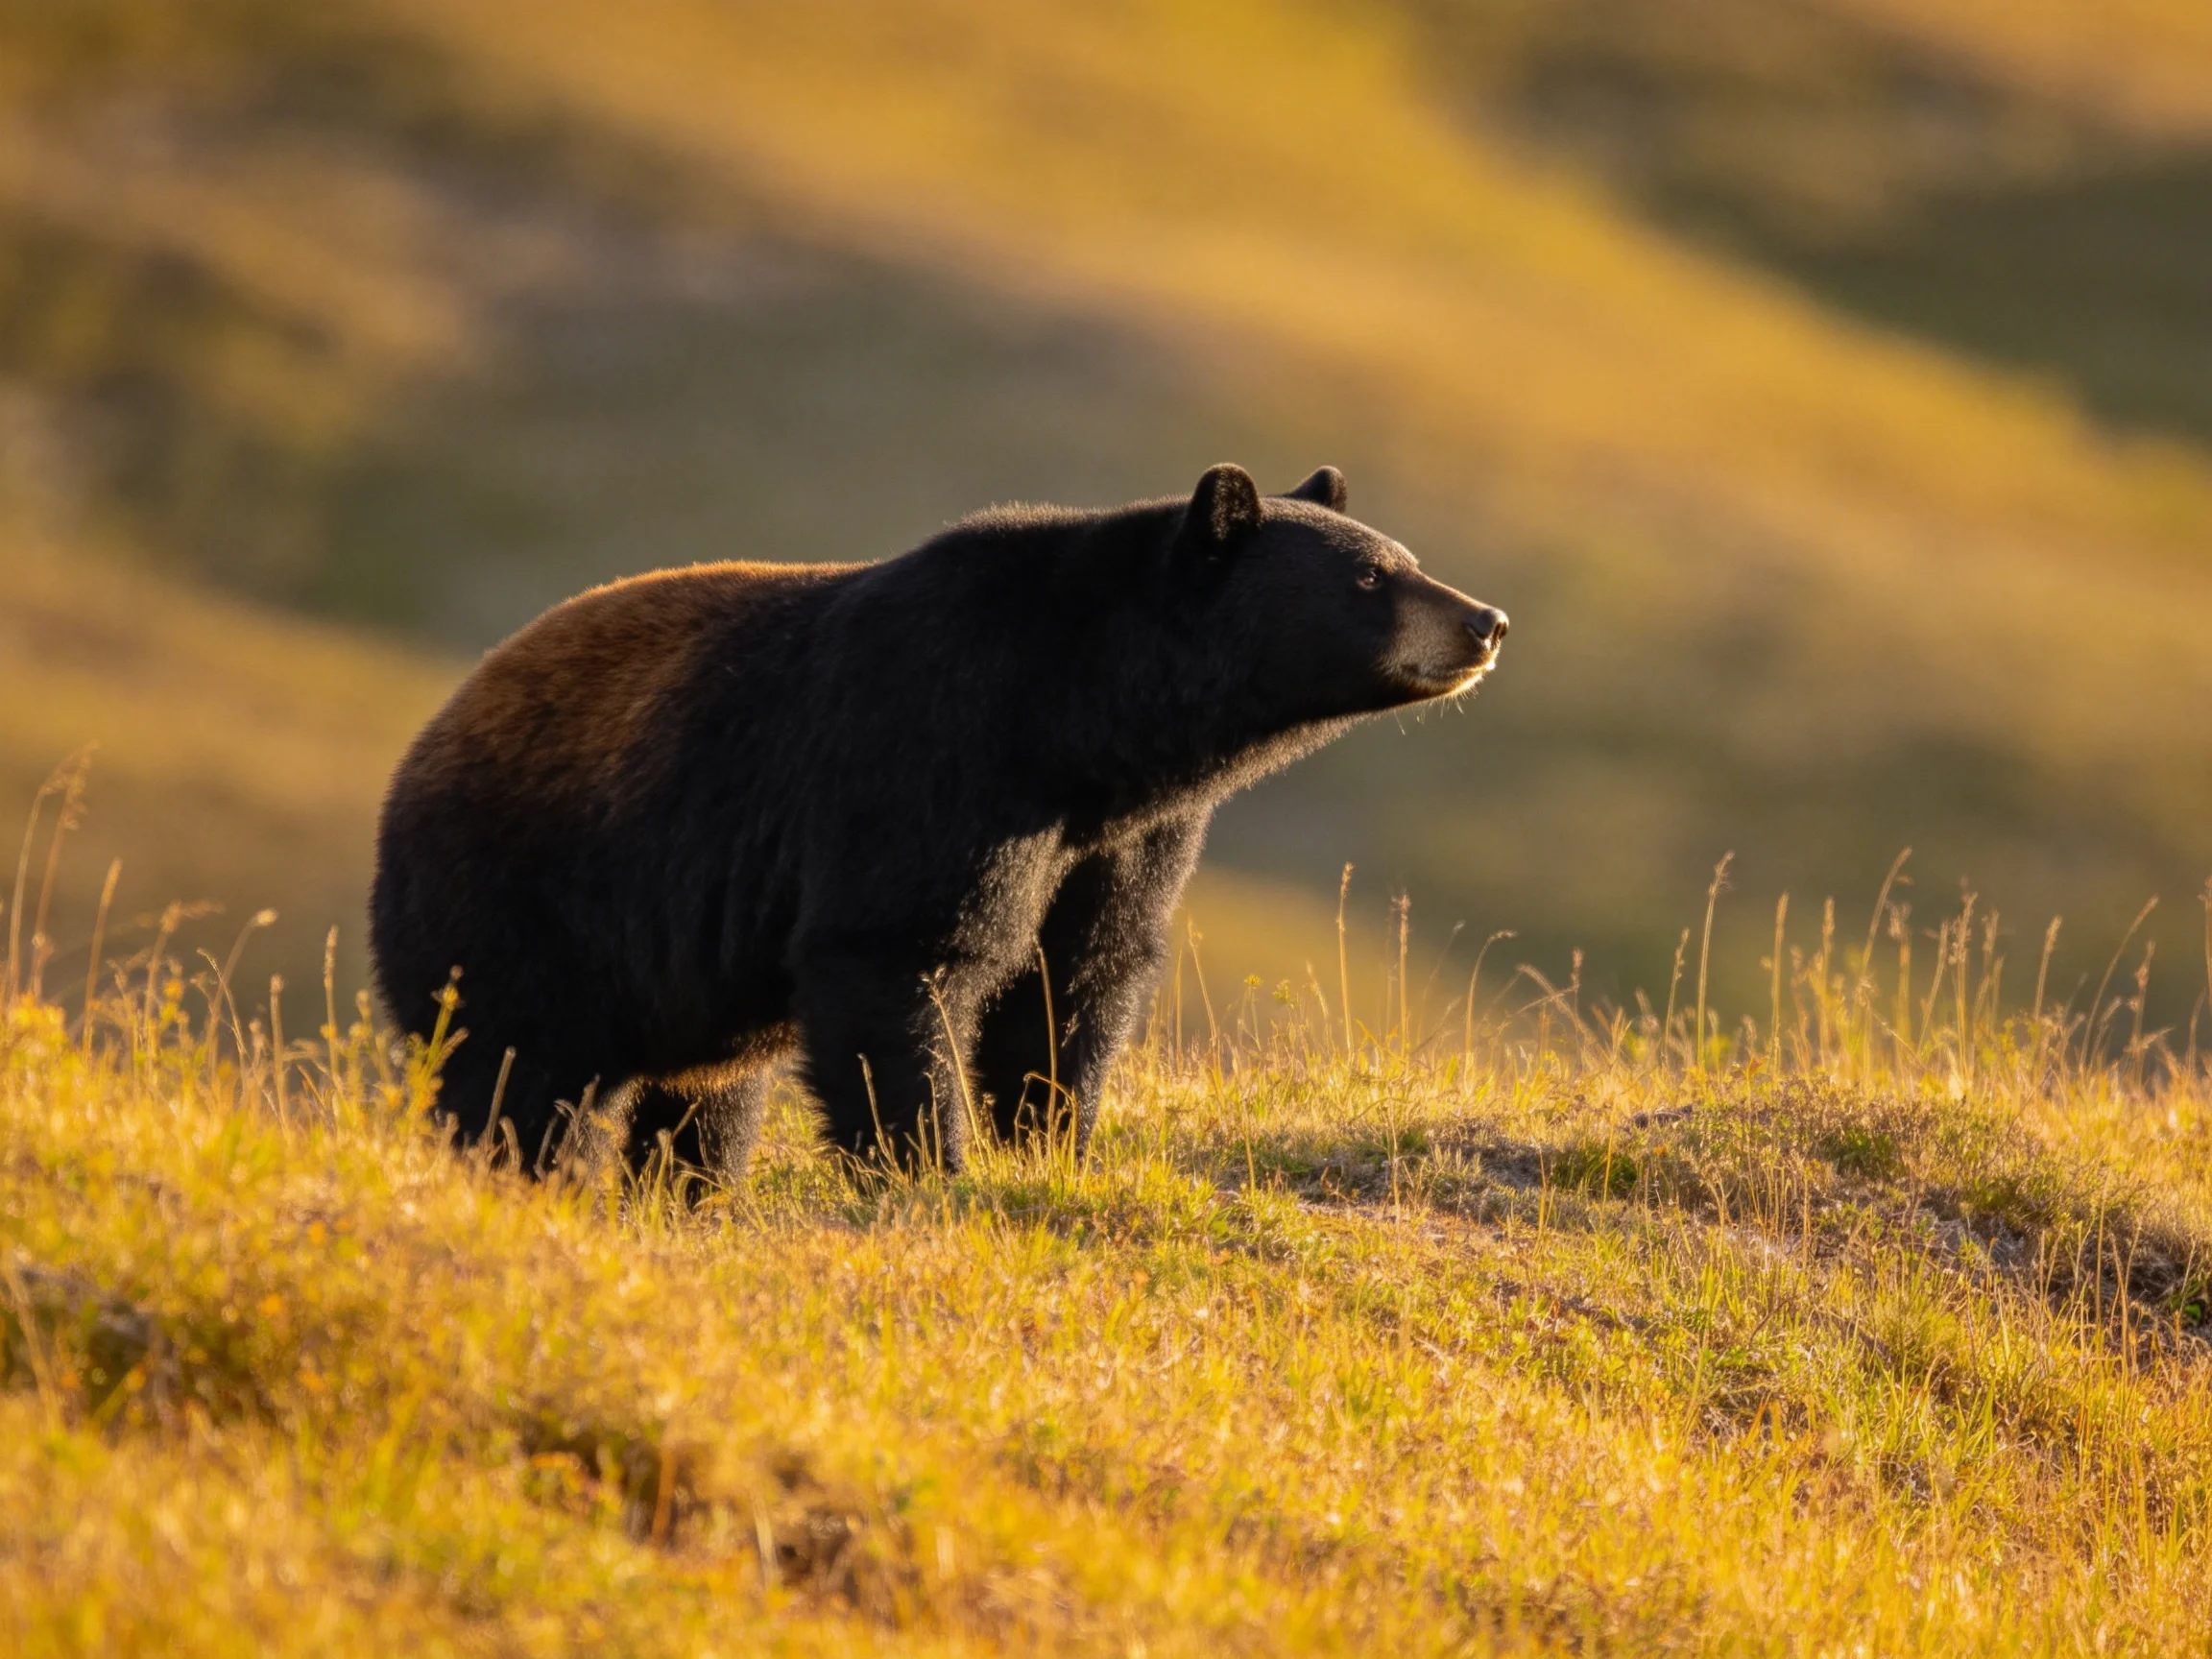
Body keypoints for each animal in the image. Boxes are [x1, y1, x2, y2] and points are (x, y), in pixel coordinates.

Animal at [369, 464, 1508, 1178]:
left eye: (1403, 554)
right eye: (1371, 575)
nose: (1486, 620)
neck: (1078, 717)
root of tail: (418, 756)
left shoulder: (1122, 835)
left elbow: (1079, 973)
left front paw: (1053, 1145)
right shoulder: (928, 753)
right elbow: (902, 953)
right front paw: (928, 1166)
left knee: (705, 1099)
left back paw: (687, 1192)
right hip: (522, 905)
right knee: (516, 1079)